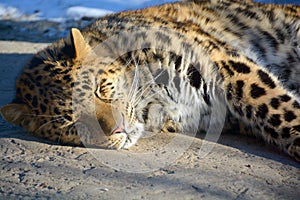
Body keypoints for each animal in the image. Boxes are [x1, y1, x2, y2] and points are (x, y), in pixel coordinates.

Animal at [0, 0, 300, 162]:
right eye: (72, 123)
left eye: (100, 89)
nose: (118, 128)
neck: (155, 102)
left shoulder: (221, 64)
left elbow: (274, 106)